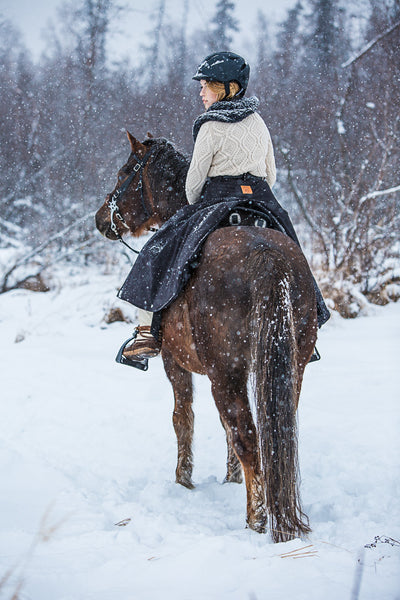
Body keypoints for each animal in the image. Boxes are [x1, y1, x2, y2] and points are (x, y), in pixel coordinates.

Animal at [95, 132, 318, 544]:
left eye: (123, 174)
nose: (101, 219)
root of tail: (266, 258)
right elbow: (225, 429)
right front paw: (231, 479)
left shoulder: (175, 363)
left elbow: (183, 418)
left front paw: (183, 481)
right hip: (288, 367)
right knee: (272, 434)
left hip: (223, 373)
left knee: (246, 435)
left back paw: (256, 520)